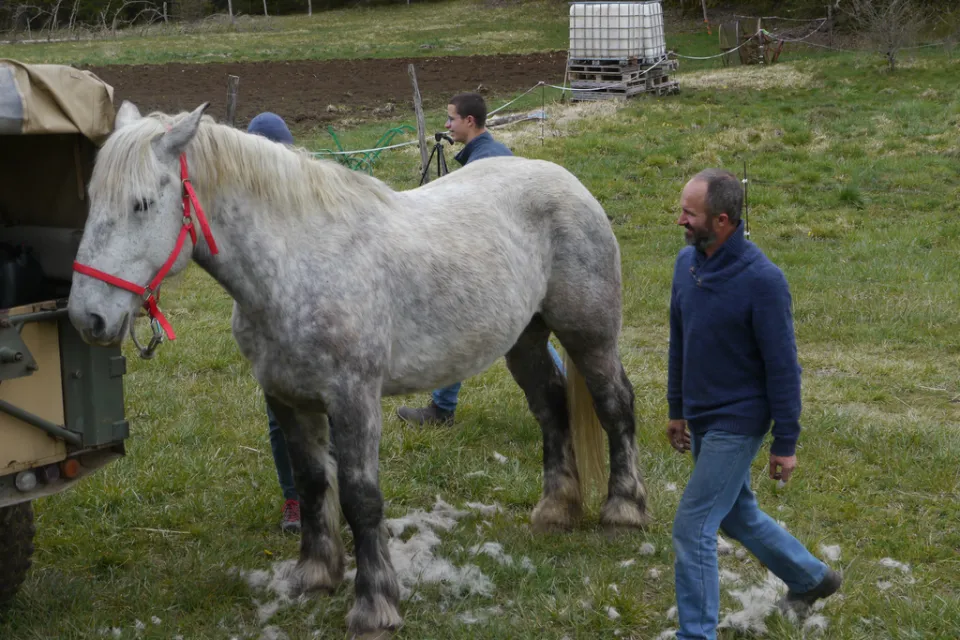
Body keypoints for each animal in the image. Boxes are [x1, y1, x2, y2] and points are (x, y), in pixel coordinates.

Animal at [67, 101, 649, 638]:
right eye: (91, 200)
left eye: (142, 203)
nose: (87, 317)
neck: (295, 265)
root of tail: (567, 181)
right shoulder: (288, 399)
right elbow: (310, 483)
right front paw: (314, 575)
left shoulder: (354, 399)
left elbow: (360, 498)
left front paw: (374, 605)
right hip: (525, 339)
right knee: (551, 407)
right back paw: (556, 511)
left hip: (588, 336)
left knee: (614, 404)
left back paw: (624, 511)